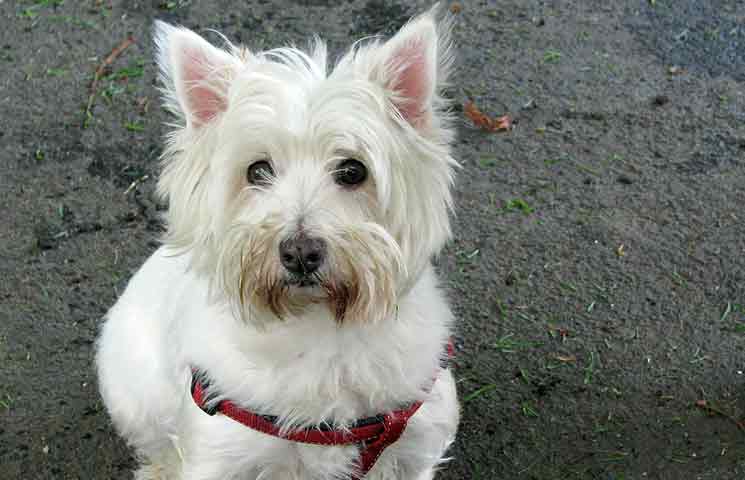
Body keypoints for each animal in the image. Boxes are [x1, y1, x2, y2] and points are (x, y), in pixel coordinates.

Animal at [96, 4, 460, 480]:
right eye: (257, 170)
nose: (300, 253)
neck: (321, 332)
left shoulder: (415, 442)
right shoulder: (223, 451)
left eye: (353, 170)